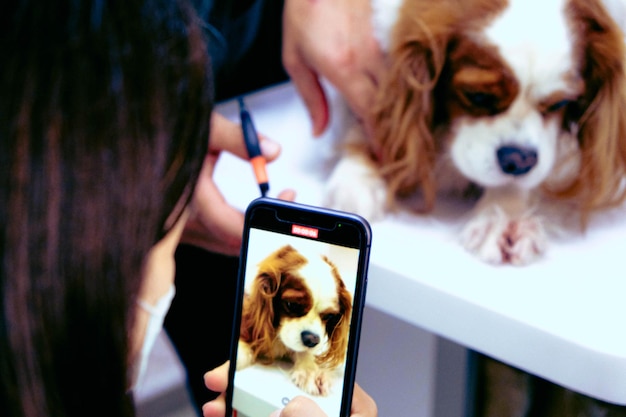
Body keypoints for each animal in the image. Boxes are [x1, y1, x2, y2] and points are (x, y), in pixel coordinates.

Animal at [322, 0, 624, 264]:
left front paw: (504, 215)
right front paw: (357, 176)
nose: (519, 159)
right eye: (477, 97)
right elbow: (367, 120)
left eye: (560, 104)